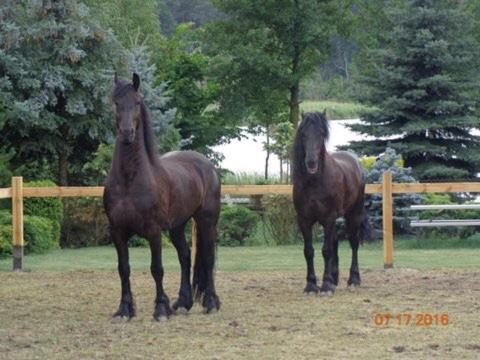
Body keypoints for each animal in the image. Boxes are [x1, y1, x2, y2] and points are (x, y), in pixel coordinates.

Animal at [105, 73, 221, 320]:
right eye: (116, 103)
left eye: (137, 102)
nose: (127, 133)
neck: (130, 180)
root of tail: (206, 165)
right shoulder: (117, 231)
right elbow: (123, 269)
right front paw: (124, 309)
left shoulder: (153, 231)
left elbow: (156, 269)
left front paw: (160, 308)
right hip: (177, 226)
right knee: (185, 256)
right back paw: (183, 302)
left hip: (206, 221)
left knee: (207, 258)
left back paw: (211, 302)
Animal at [290, 112, 370, 296]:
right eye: (303, 134)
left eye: (321, 134)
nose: (311, 162)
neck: (314, 183)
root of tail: (355, 161)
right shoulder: (304, 220)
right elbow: (309, 251)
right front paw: (311, 285)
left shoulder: (328, 218)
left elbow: (326, 251)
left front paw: (325, 286)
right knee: (335, 243)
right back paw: (334, 278)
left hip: (353, 215)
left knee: (353, 243)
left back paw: (353, 279)